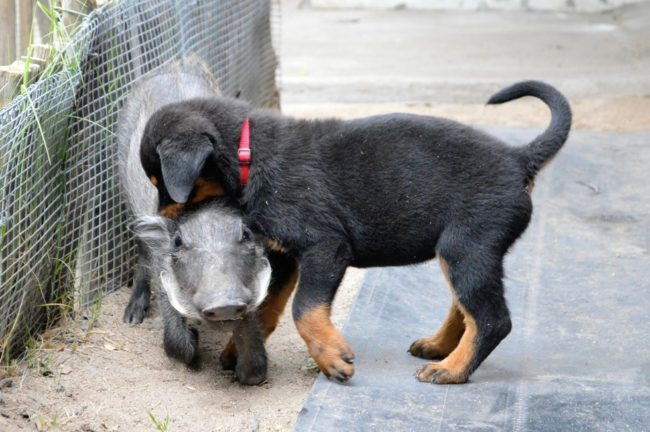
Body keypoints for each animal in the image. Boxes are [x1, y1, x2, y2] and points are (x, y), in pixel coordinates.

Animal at [140, 81, 568, 384]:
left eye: (162, 181)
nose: (158, 220)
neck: (250, 155)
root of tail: (518, 159)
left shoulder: (325, 247)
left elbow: (304, 309)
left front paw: (333, 358)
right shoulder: (284, 257)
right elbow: (266, 309)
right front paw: (237, 351)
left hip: (467, 246)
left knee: (492, 319)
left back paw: (452, 370)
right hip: (463, 252)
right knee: (466, 308)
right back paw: (439, 348)